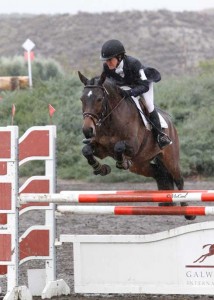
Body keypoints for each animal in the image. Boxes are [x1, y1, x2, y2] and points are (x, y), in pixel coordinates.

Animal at [78, 71, 194, 220]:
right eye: (82, 99)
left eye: (99, 99)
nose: (87, 130)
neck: (110, 121)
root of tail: (170, 122)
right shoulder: (101, 149)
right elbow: (86, 150)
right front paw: (101, 168)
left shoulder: (133, 147)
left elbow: (119, 147)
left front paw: (122, 162)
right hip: (140, 164)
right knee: (159, 173)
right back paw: (165, 203)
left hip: (170, 159)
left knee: (179, 179)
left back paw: (187, 211)